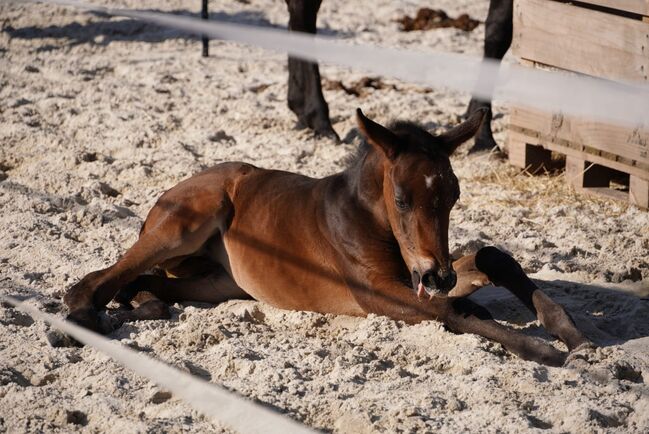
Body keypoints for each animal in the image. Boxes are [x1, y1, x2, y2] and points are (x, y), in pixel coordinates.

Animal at [63, 108, 588, 366]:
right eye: (402, 199)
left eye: (455, 195)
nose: (437, 275)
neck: (364, 217)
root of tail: (168, 193)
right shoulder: (378, 293)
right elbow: (450, 313)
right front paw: (542, 350)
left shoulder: (414, 277)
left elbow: (489, 258)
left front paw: (569, 333)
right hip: (187, 222)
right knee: (92, 281)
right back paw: (82, 319)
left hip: (219, 283)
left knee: (145, 283)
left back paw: (143, 305)